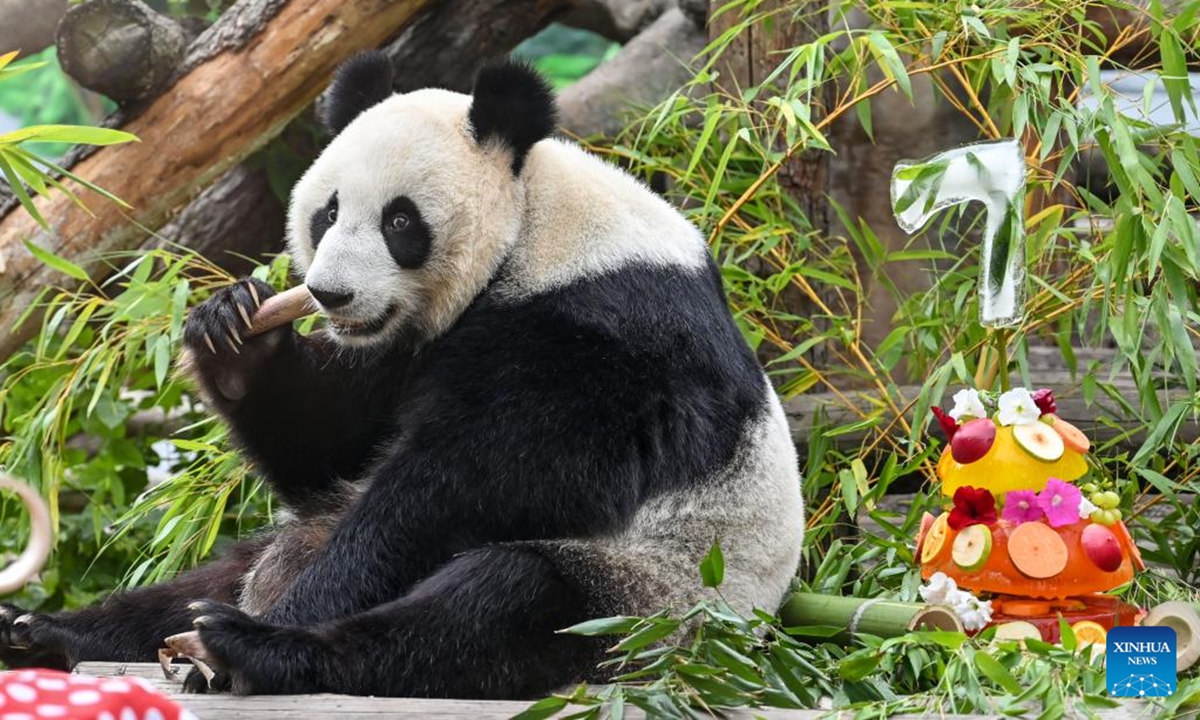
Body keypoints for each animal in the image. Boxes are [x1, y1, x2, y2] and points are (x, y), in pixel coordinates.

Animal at [0, 53, 804, 698]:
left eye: (399, 222)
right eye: (326, 213)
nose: (330, 295)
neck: (533, 230)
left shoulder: (600, 340)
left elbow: (467, 484)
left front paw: (292, 615)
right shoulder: (399, 349)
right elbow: (332, 449)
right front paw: (233, 331)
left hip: (645, 604)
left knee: (498, 609)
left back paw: (254, 648)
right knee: (219, 573)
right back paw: (49, 631)